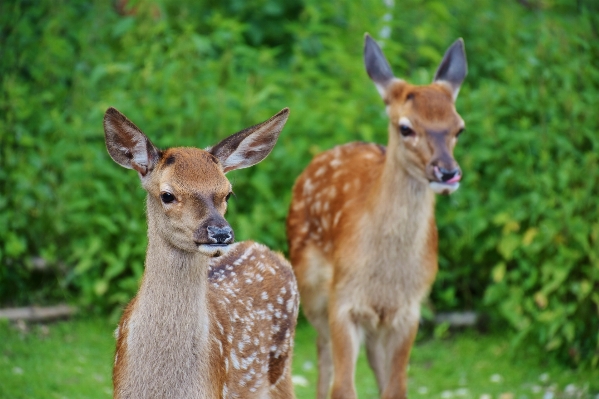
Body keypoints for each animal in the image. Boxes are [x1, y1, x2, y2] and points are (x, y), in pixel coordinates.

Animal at [286, 35, 468, 399]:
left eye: (459, 128)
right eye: (406, 127)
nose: (447, 172)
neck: (385, 276)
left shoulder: (409, 310)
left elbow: (396, 387)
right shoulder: (343, 301)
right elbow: (343, 387)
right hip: (311, 288)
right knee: (323, 355)